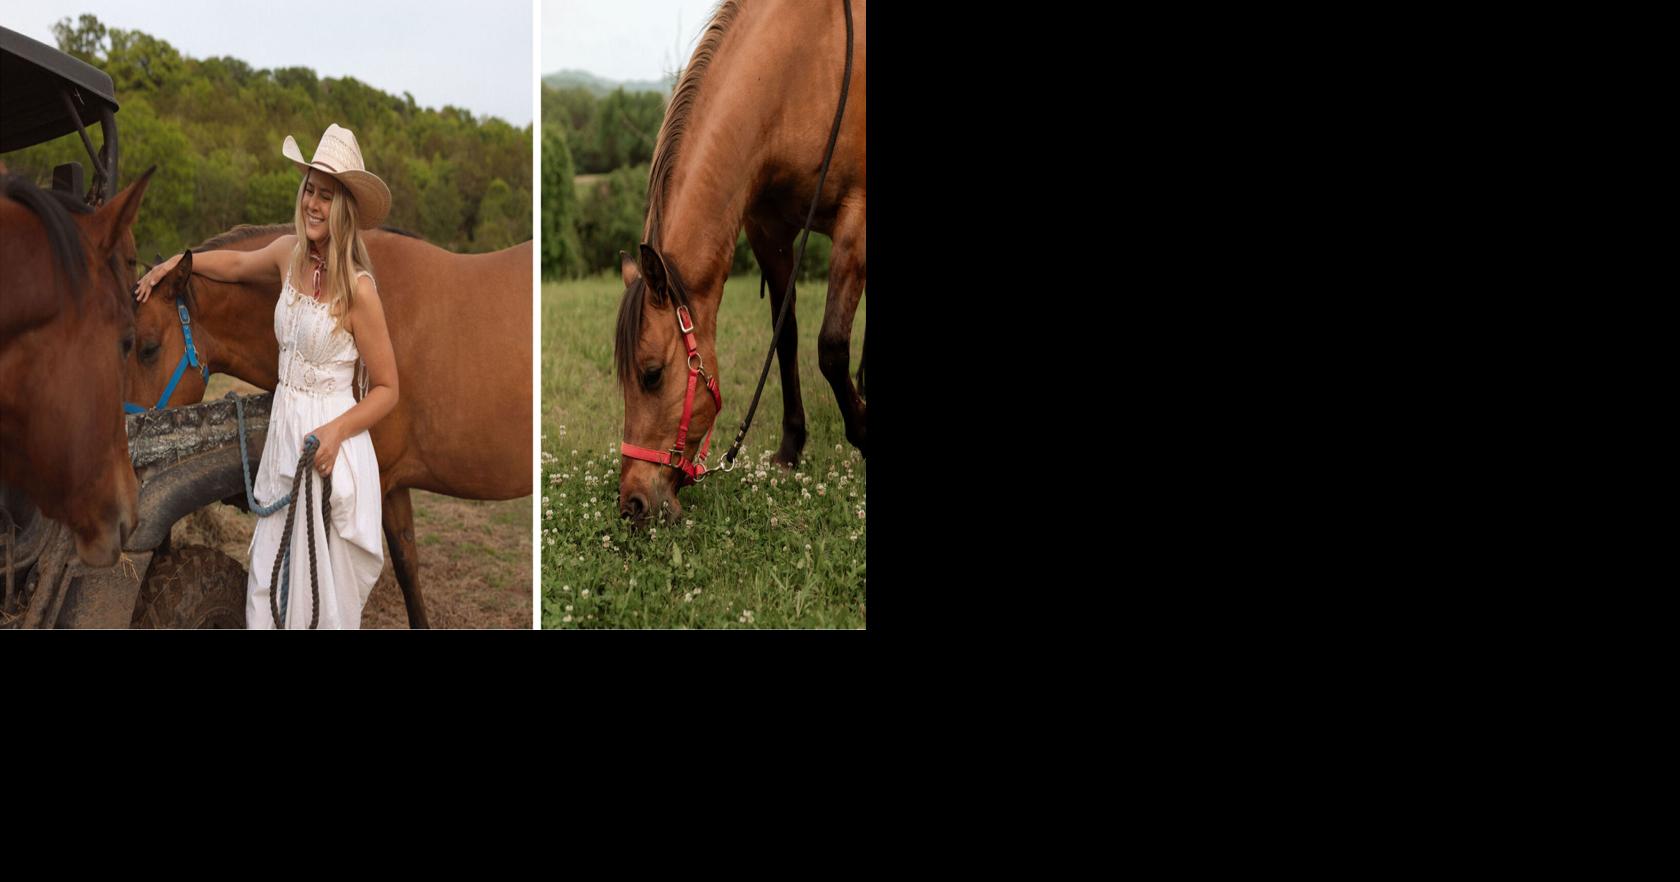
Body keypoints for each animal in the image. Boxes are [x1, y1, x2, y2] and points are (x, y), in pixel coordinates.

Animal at [615, 0, 867, 524]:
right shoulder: (768, 228)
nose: (632, 504)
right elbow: (785, 335)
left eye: (651, 374)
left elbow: (831, 346)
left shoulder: (858, 217)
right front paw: (791, 448)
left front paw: (866, 434)